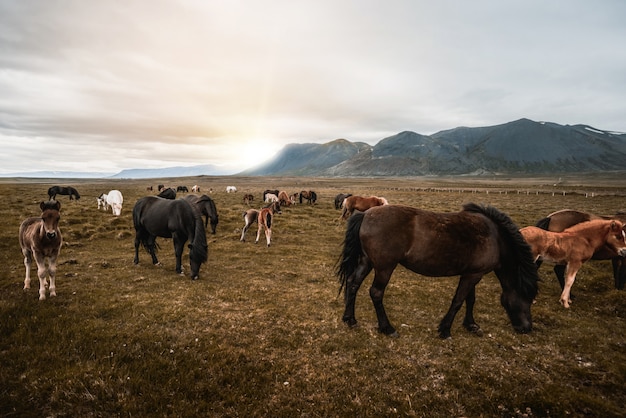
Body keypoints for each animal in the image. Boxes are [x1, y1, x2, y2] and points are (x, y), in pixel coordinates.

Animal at [336, 203, 536, 340]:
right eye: (527, 298)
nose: (527, 328)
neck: (495, 237)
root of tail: (365, 214)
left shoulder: (472, 273)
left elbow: (469, 299)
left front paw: (471, 324)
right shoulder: (473, 275)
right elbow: (458, 301)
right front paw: (445, 329)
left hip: (366, 261)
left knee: (353, 283)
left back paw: (350, 319)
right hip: (385, 267)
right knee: (376, 292)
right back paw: (387, 328)